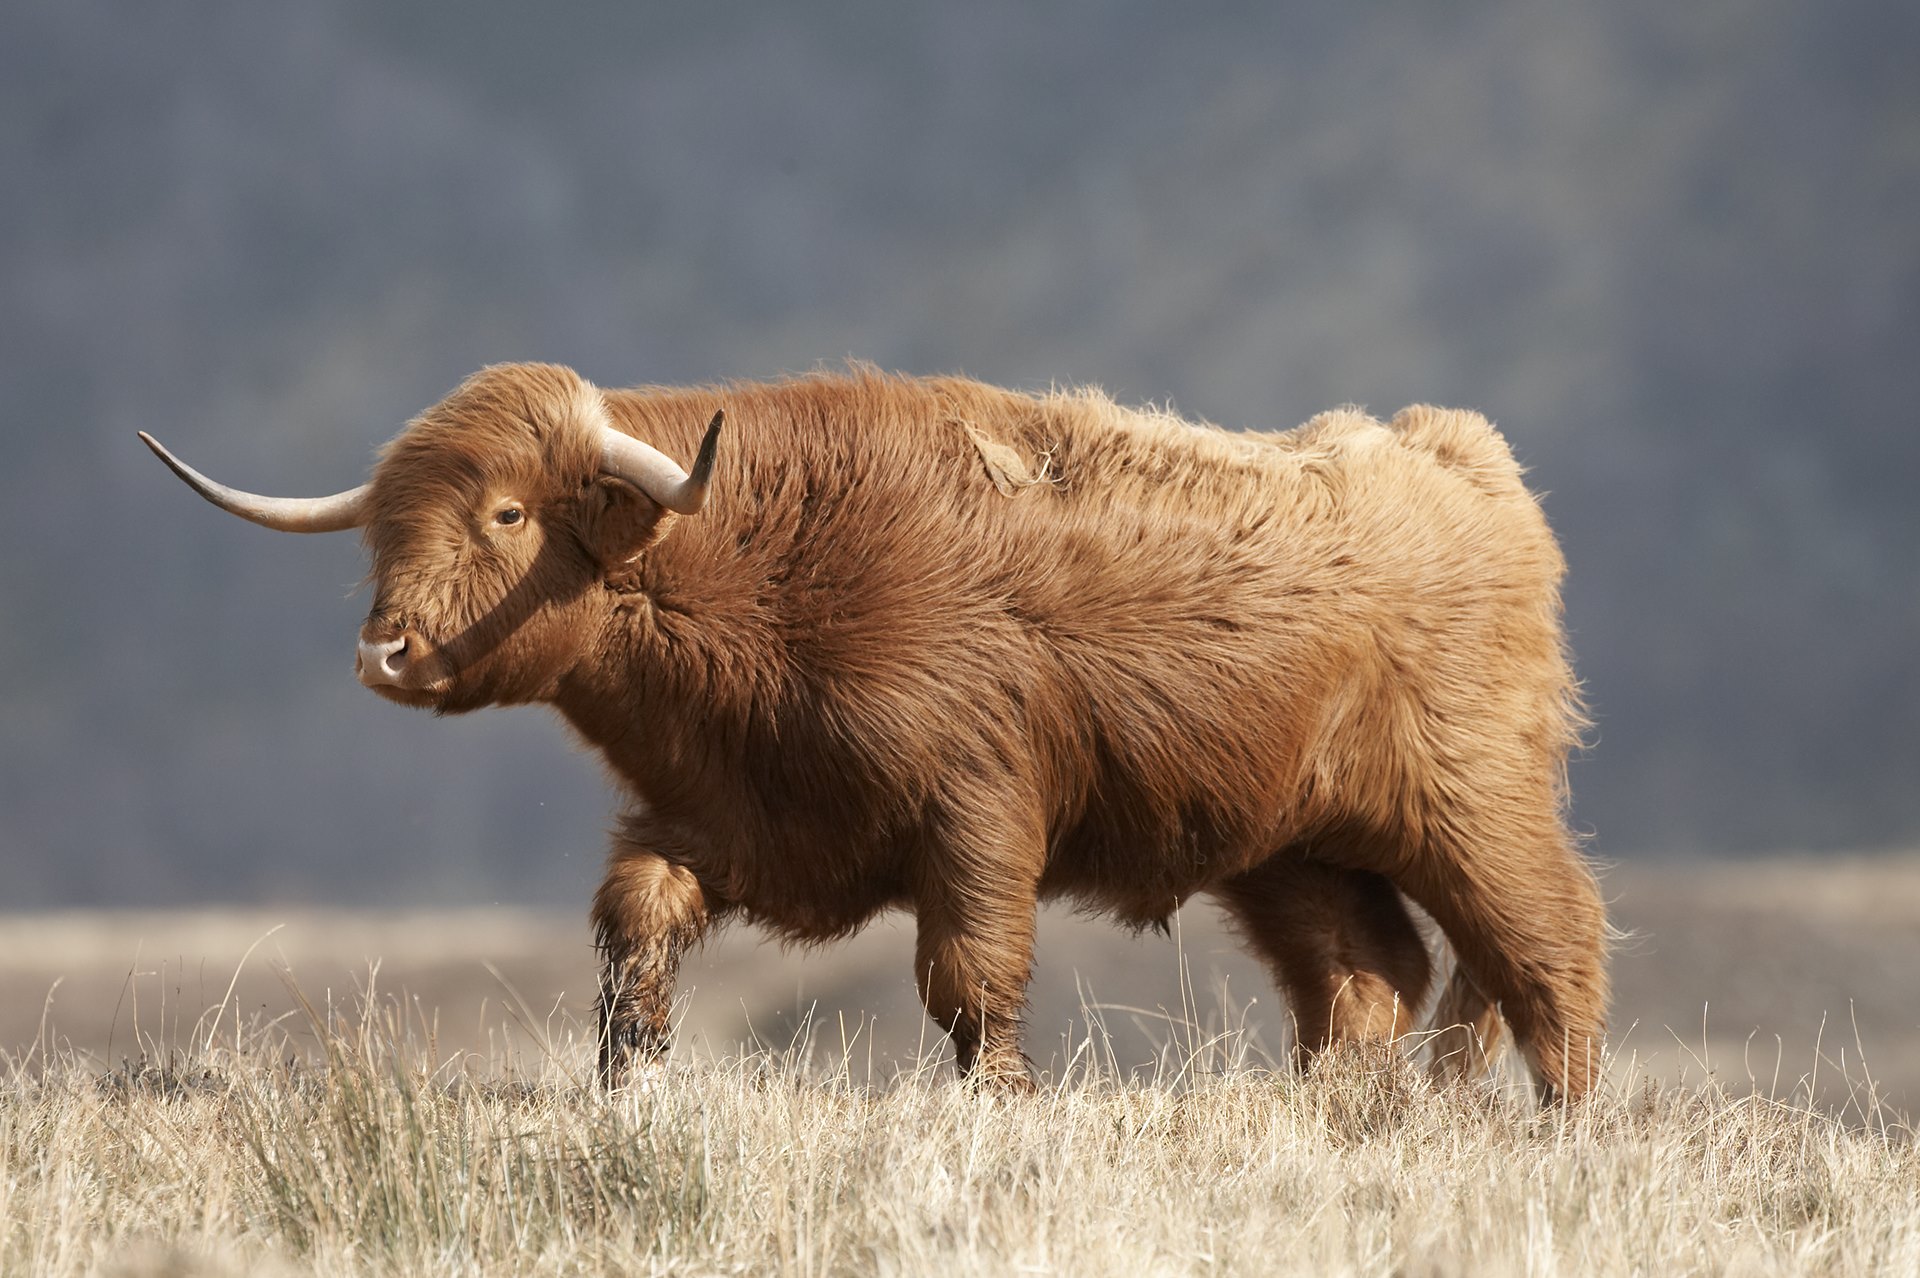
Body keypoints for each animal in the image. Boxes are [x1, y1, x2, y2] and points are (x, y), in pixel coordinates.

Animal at [142, 358, 1605, 1097]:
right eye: (383, 527)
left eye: (505, 512)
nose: (383, 650)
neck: (761, 572)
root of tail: (1460, 460)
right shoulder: (715, 824)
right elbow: (631, 926)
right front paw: (629, 1073)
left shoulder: (976, 810)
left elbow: (970, 977)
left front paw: (1000, 1107)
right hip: (1287, 849)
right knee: (1366, 981)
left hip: (1475, 805)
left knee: (1550, 952)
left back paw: (1562, 1131)